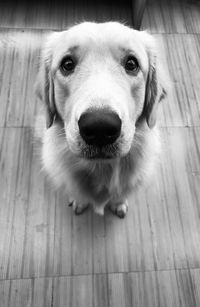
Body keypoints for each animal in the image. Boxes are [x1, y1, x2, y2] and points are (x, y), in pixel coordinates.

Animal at [34, 21, 169, 219]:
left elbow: (119, 196)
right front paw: (79, 202)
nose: (100, 128)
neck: (101, 168)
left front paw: (118, 204)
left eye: (131, 63)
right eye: (67, 64)